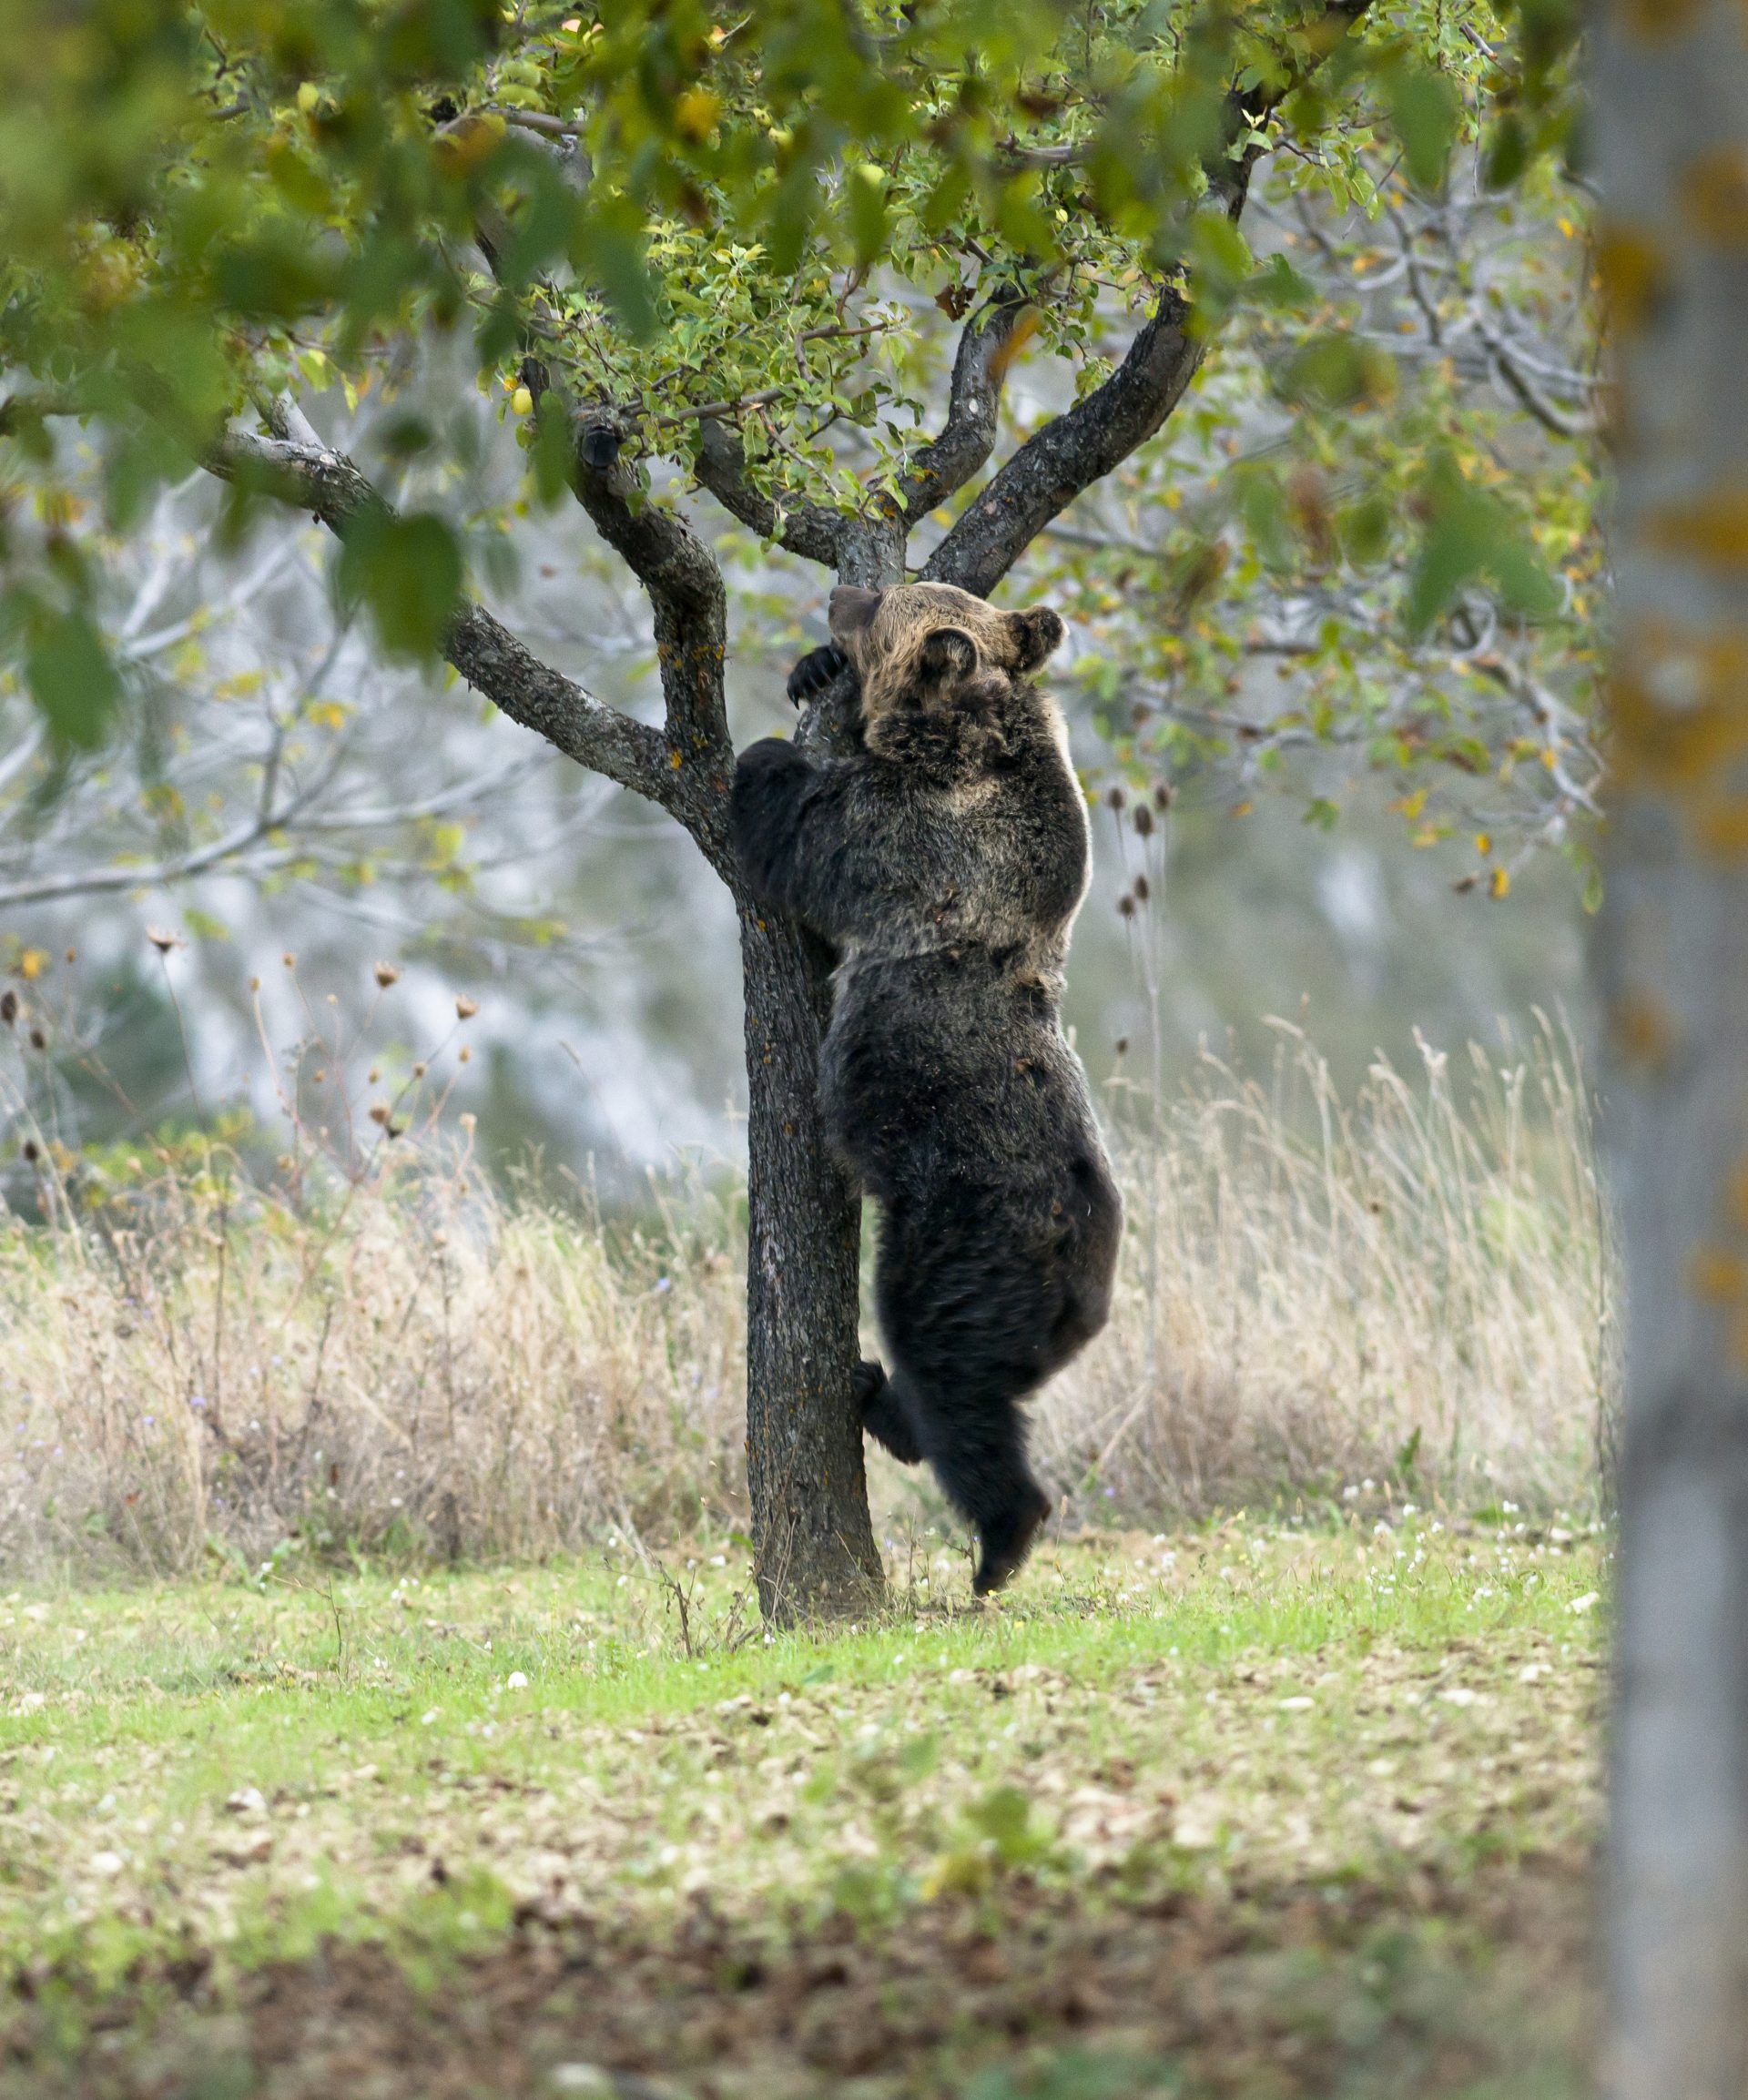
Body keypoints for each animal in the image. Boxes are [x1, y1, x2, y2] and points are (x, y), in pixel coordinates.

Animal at [731, 580, 1122, 1594]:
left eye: (882, 604)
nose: (840, 591)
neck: (958, 741)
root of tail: (1087, 1282)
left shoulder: (923, 839)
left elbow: (822, 836)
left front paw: (766, 755)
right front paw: (810, 671)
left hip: (963, 1230)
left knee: (949, 1370)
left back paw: (999, 1534)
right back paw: (881, 1400)